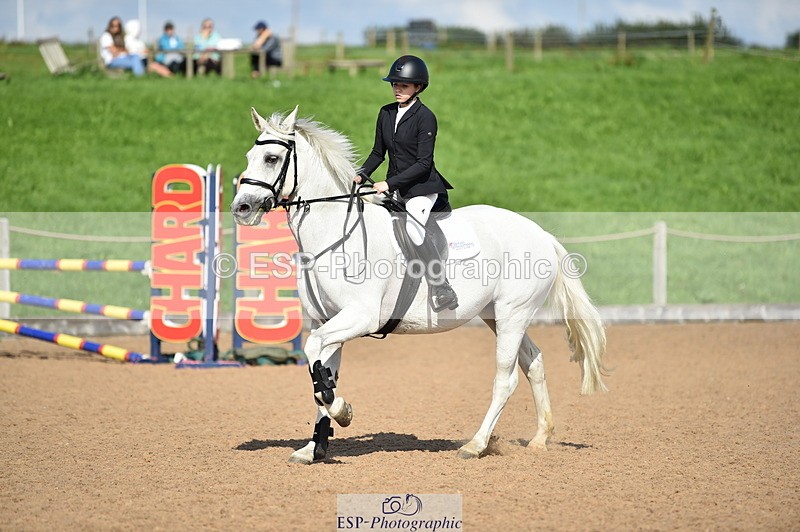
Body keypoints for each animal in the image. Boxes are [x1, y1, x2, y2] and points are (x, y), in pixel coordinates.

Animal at [230, 106, 607, 464]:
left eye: (271, 158)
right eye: (249, 156)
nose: (241, 208)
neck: (334, 234)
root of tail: (541, 234)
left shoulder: (359, 317)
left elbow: (317, 365)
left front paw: (342, 411)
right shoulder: (326, 322)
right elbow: (321, 373)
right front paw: (314, 448)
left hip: (513, 313)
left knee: (507, 378)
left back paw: (475, 445)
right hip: (496, 315)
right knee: (534, 363)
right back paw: (540, 438)